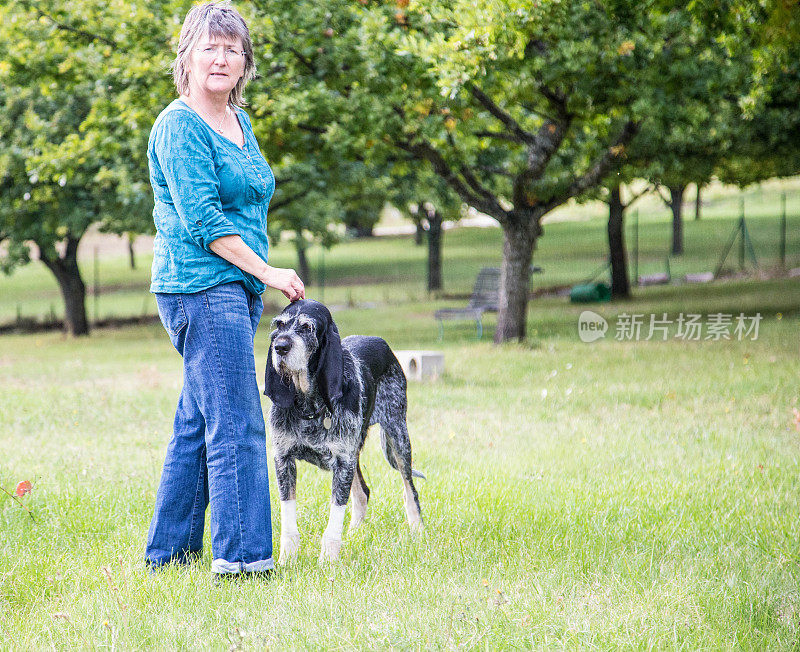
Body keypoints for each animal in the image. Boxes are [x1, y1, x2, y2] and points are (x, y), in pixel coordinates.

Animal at [264, 300, 424, 560]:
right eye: (279, 325)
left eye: (307, 327)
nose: (280, 347)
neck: (309, 405)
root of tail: (381, 342)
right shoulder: (283, 459)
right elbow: (288, 517)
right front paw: (287, 559)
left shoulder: (342, 462)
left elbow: (335, 514)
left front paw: (328, 560)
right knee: (362, 493)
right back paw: (356, 534)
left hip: (398, 437)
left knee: (409, 489)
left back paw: (417, 530)